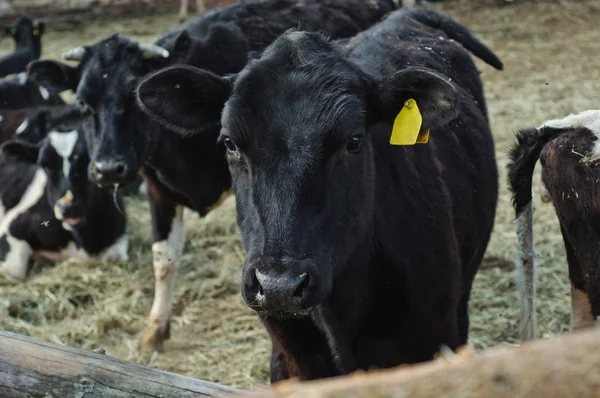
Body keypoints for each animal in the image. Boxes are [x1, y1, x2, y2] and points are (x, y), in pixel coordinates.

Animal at [0, 111, 127, 280]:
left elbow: (115, 257)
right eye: (45, 165)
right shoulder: (11, 227)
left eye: (89, 161)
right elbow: (14, 269)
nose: (68, 207)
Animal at [29, 0, 404, 348]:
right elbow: (163, 260)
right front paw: (155, 330)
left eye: (131, 96)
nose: (107, 169)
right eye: (82, 102)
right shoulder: (157, 188)